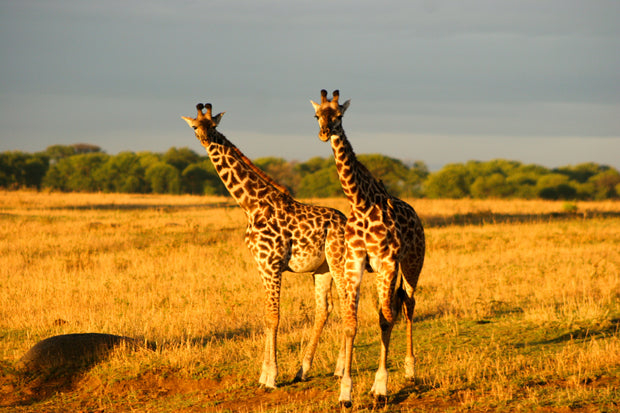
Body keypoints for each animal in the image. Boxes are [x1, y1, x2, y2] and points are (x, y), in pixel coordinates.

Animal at [183, 102, 348, 386]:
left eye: (213, 125)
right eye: (195, 126)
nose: (205, 139)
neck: (251, 205)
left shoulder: (271, 264)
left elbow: (273, 316)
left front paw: (270, 376)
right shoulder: (260, 265)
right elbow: (266, 315)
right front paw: (265, 373)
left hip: (339, 264)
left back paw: (338, 368)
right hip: (322, 268)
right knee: (324, 309)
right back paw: (305, 370)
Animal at [310, 89, 426, 406]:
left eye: (339, 115)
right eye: (317, 114)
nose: (324, 133)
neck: (360, 202)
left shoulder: (387, 261)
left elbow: (385, 320)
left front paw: (381, 388)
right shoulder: (354, 263)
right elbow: (352, 323)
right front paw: (345, 393)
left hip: (412, 264)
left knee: (407, 305)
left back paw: (411, 371)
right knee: (394, 306)